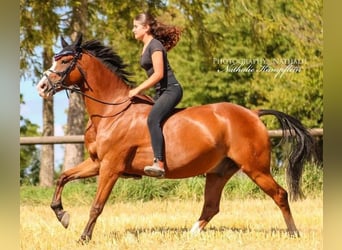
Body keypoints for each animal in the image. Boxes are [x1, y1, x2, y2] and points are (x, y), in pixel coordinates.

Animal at [37, 34, 316, 241]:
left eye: (65, 61)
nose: (42, 87)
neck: (111, 112)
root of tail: (253, 114)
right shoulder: (97, 163)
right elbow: (63, 177)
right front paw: (62, 215)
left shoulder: (111, 166)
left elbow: (97, 204)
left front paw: (83, 237)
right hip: (219, 171)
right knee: (211, 206)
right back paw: (190, 234)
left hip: (255, 167)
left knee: (280, 194)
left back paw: (293, 233)